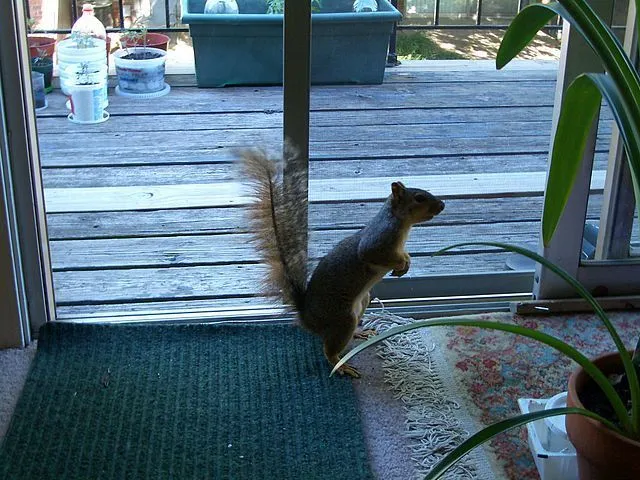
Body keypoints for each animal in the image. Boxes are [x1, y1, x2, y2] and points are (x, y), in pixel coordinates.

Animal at [238, 146, 445, 378]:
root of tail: (307, 319)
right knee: (329, 348)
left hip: (362, 302)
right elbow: (373, 254)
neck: (402, 225)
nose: (442, 205)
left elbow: (405, 255)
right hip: (342, 319)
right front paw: (399, 264)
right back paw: (341, 364)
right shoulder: (378, 241)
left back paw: (359, 334)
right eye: (419, 198)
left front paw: (405, 264)